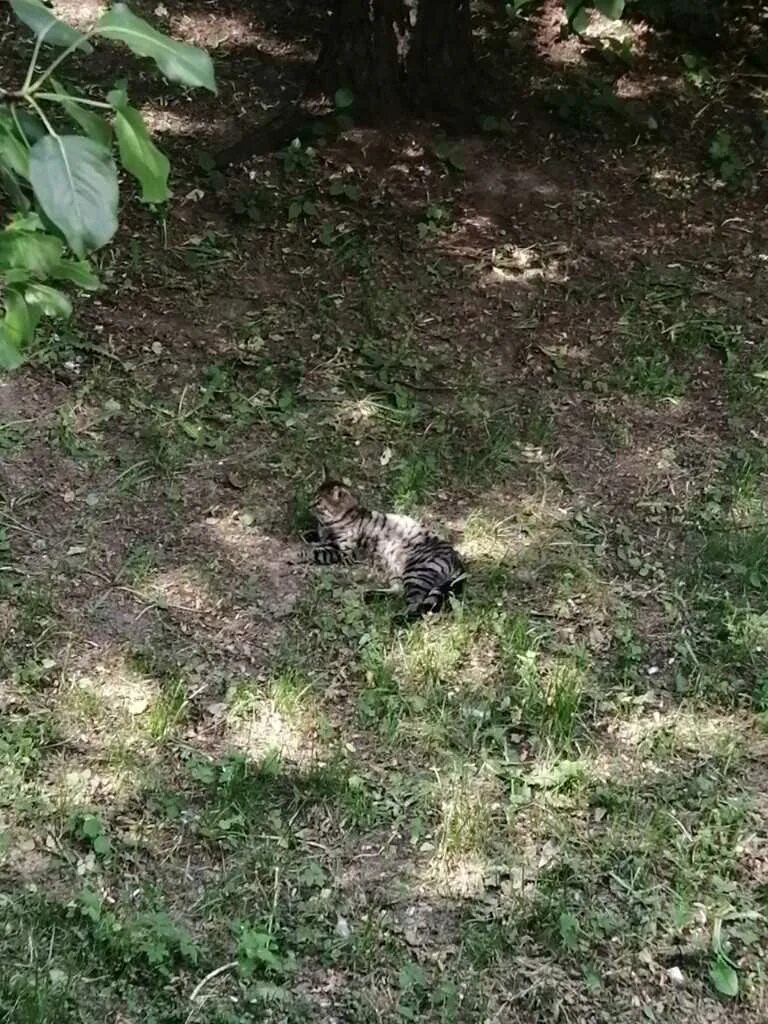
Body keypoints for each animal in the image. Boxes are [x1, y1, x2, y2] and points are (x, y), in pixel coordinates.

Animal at [305, 471, 462, 614]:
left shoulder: (342, 551)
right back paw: (370, 595)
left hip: (416, 572)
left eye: (318, 502)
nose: (308, 506)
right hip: (397, 571)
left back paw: (399, 619)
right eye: (313, 497)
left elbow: (312, 552)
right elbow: (316, 537)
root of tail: (458, 560)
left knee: (415, 604)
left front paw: (301, 553)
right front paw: (309, 535)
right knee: (399, 591)